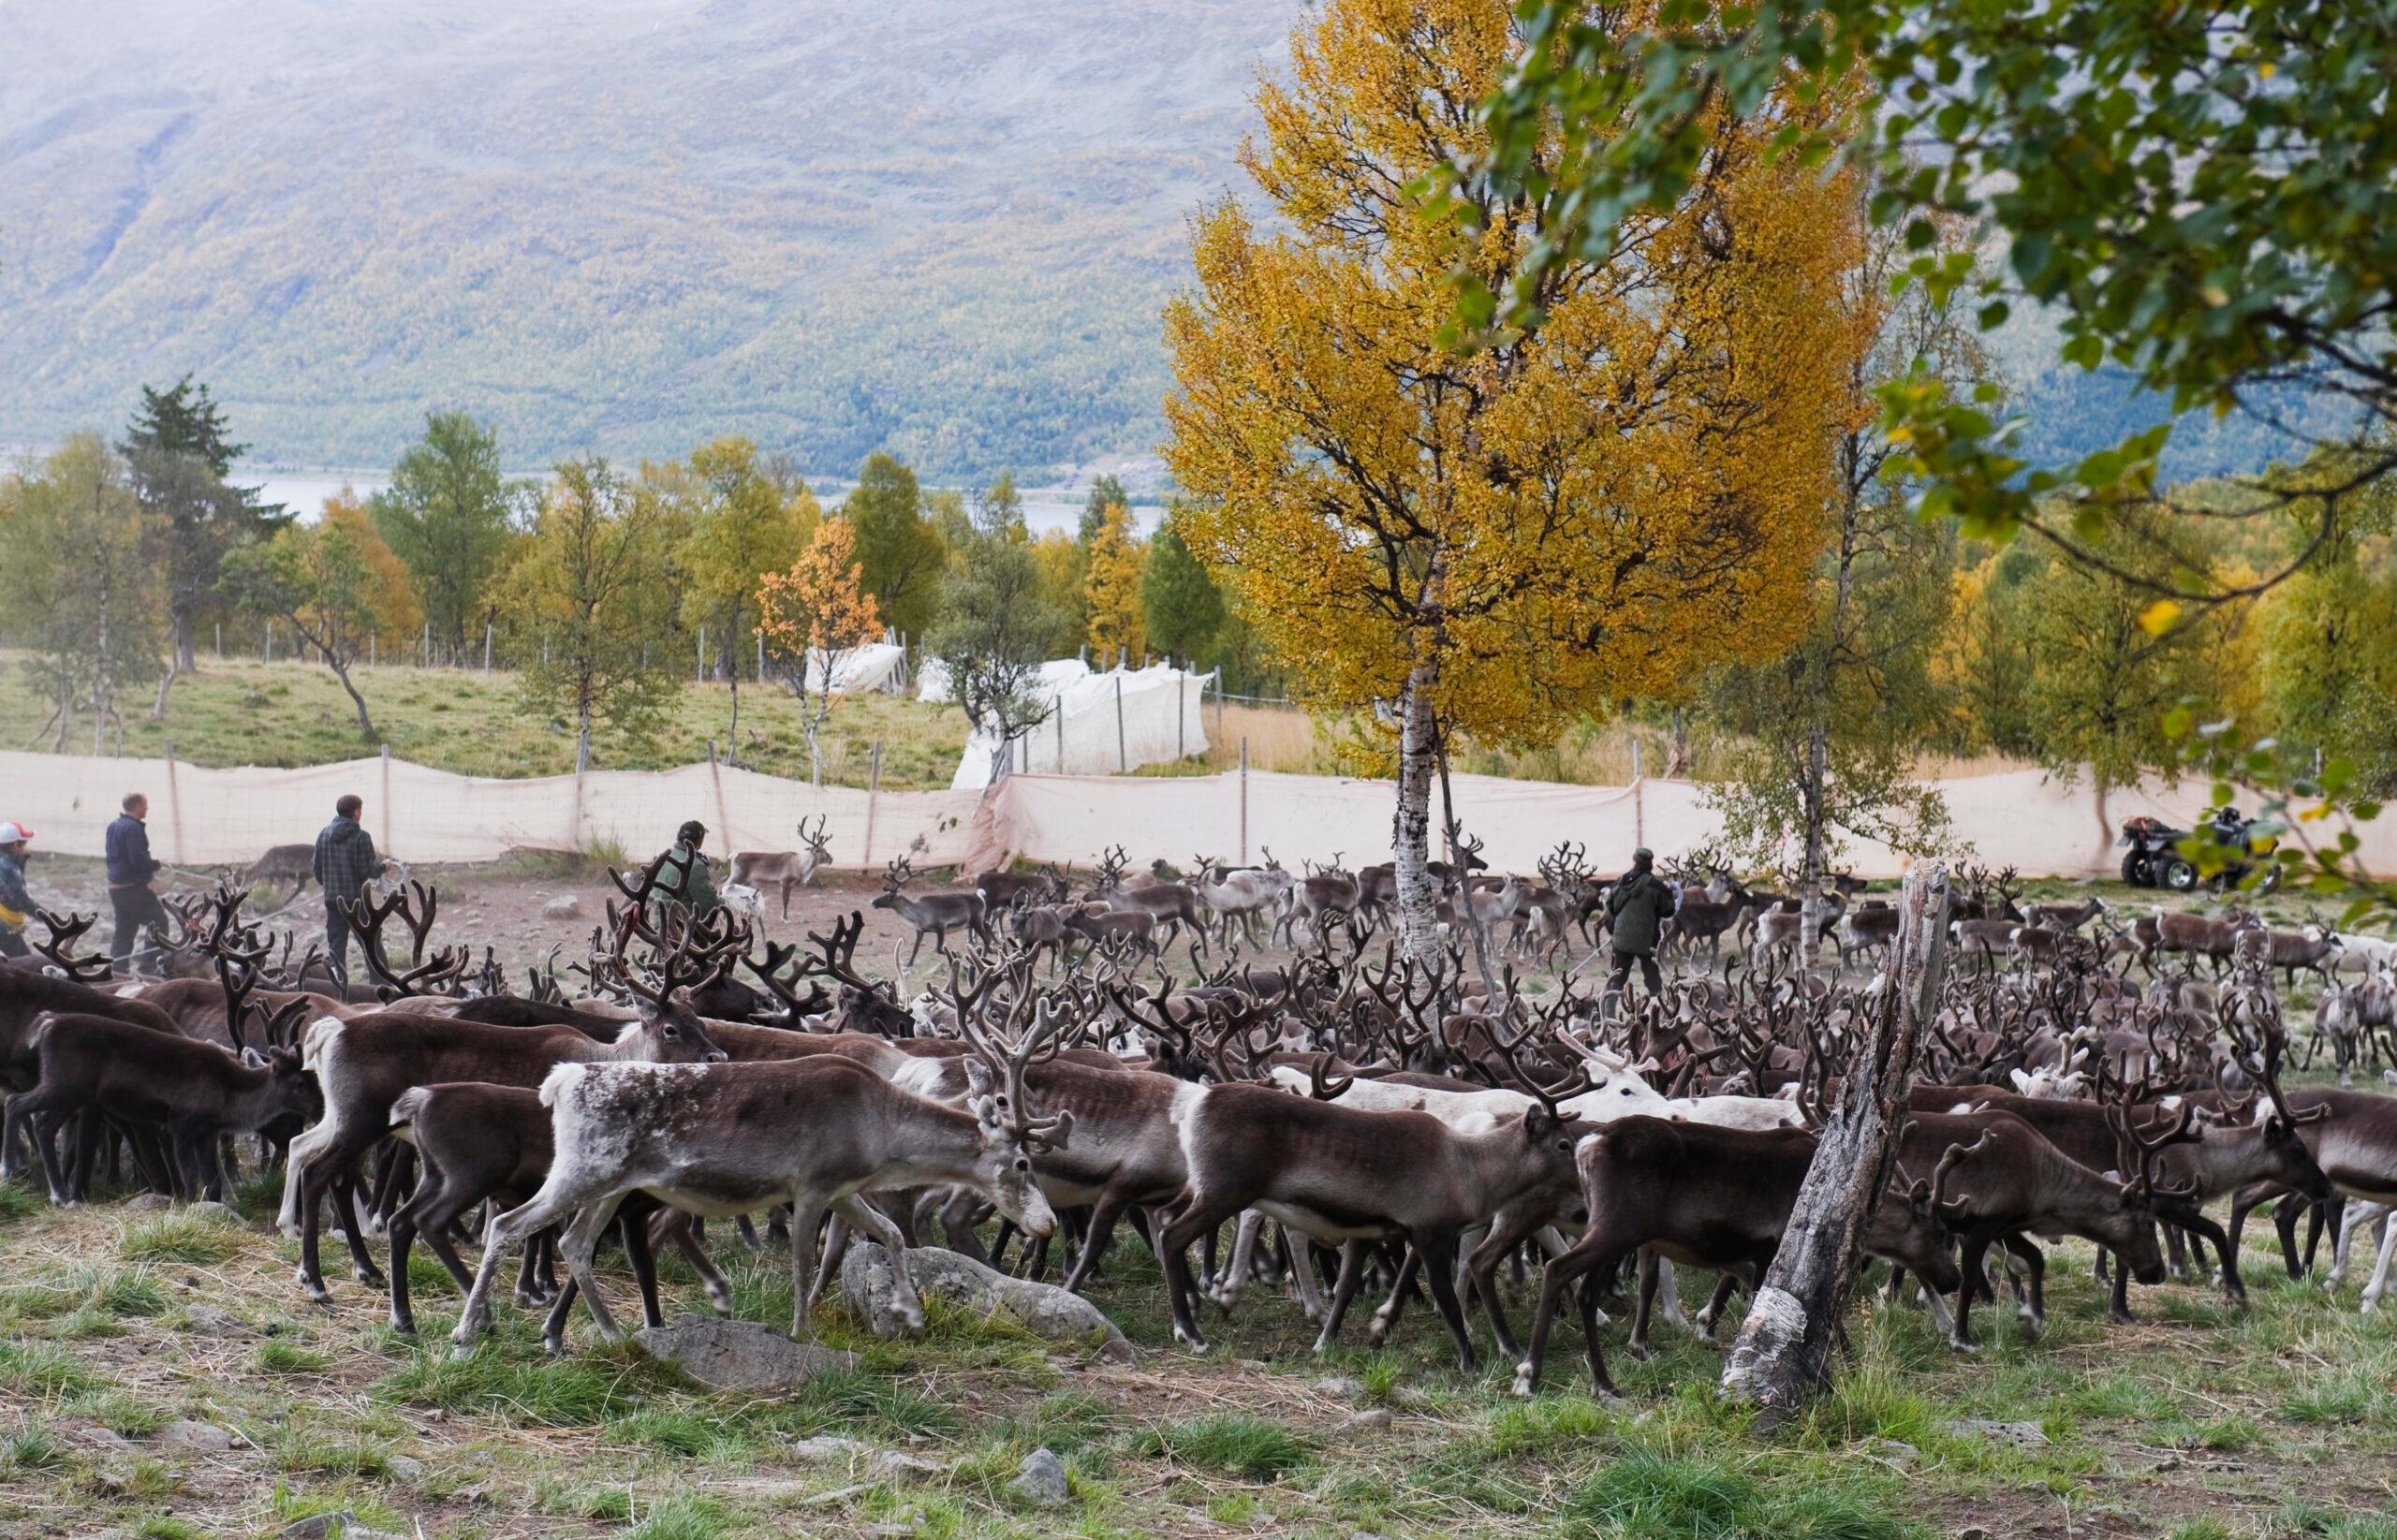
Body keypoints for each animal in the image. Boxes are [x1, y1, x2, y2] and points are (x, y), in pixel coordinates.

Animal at [870, 855, 990, 969]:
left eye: (889, 896)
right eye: (885, 894)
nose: (873, 902)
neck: (918, 915)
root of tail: (979, 896)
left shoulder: (941, 927)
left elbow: (939, 949)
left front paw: (957, 954)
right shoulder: (920, 930)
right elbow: (915, 948)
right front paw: (909, 964)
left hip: (976, 921)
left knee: (986, 939)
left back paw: (984, 959)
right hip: (976, 922)